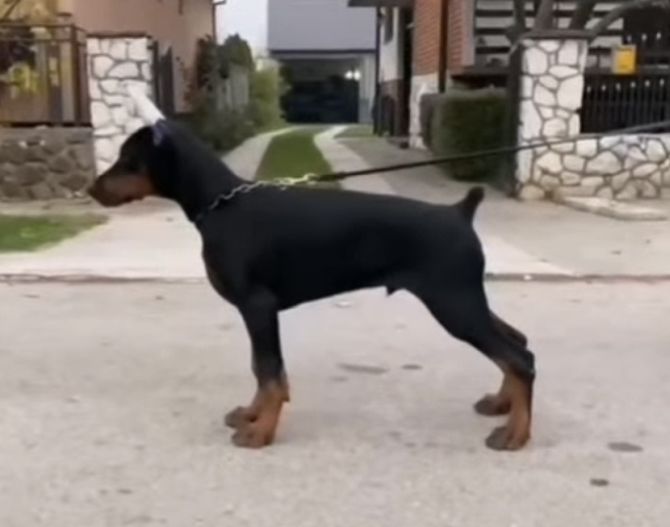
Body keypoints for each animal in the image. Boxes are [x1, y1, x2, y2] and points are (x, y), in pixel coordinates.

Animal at [88, 94, 535, 451]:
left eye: (127, 160)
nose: (91, 189)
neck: (221, 203)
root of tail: (460, 212)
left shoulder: (258, 305)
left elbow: (270, 374)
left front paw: (260, 432)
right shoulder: (257, 312)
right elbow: (262, 369)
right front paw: (251, 414)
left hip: (453, 301)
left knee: (518, 359)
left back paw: (515, 435)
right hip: (464, 297)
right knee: (519, 343)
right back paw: (502, 405)